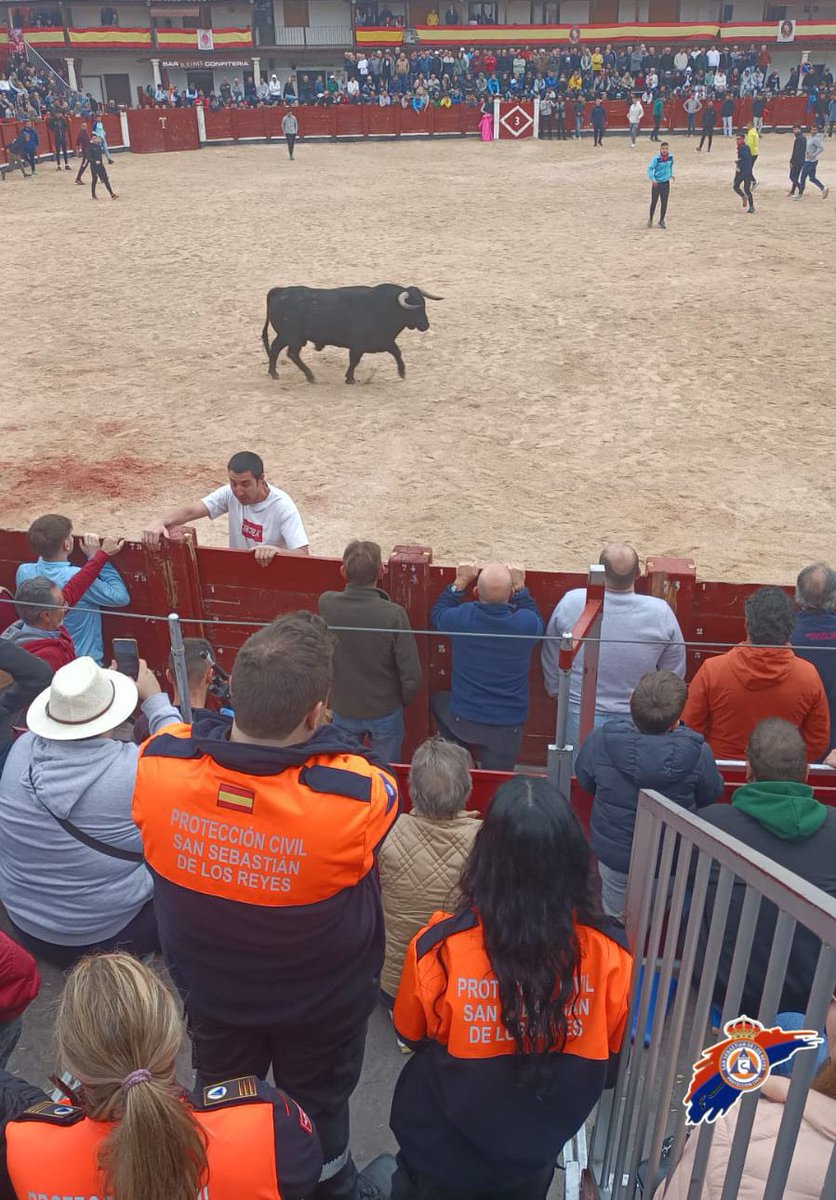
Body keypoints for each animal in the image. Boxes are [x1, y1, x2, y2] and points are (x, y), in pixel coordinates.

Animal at [261, 282, 443, 384]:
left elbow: (397, 352)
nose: (425, 326)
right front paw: (350, 378)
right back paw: (310, 376)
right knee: (292, 354)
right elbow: (354, 360)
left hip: (285, 336)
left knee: (275, 348)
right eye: (416, 307)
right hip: (294, 337)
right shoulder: (358, 345)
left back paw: (274, 373)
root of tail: (279, 291)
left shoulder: (385, 341)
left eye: (424, 303)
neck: (384, 308)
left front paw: (402, 373)